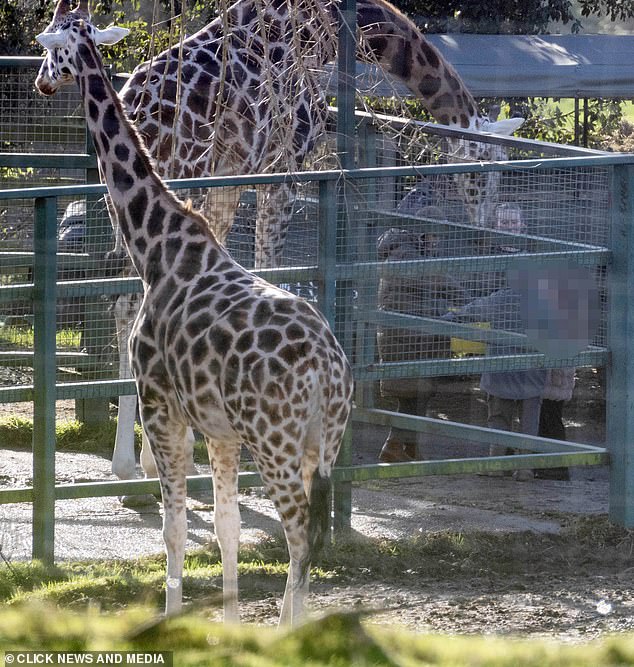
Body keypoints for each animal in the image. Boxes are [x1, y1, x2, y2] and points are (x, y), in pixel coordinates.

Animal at [35, 1, 354, 624]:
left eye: (51, 47)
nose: (40, 82)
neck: (156, 246)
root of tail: (329, 371)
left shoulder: (162, 405)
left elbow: (174, 528)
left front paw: (169, 617)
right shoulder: (219, 428)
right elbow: (228, 528)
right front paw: (229, 623)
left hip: (276, 443)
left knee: (299, 536)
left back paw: (290, 629)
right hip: (321, 443)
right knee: (313, 535)